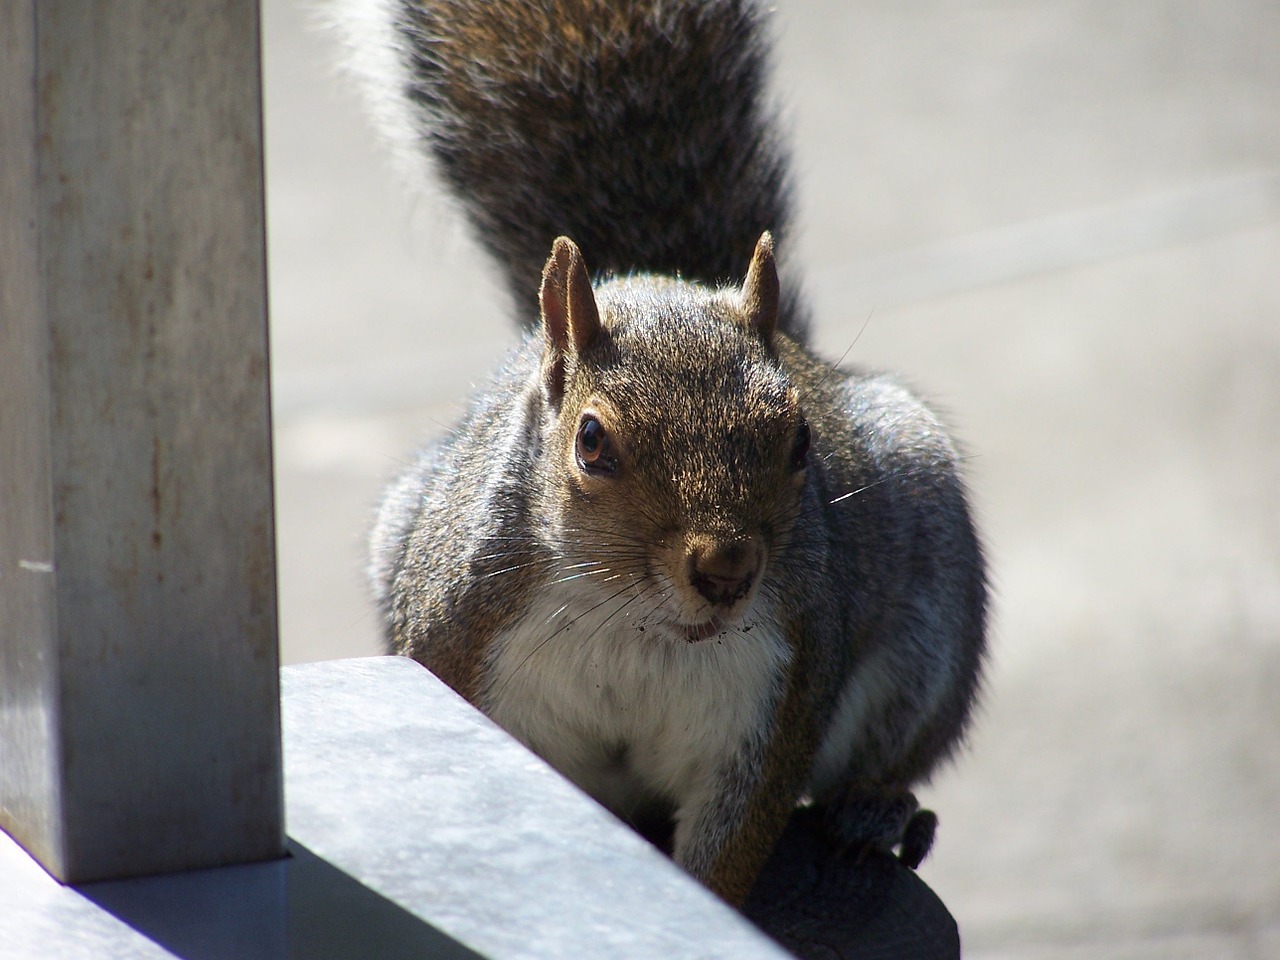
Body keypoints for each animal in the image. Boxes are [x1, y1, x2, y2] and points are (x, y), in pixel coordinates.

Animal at [335, 0, 983, 911]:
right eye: (591, 441)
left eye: (800, 439)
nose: (726, 569)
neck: (635, 625)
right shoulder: (461, 650)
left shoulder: (776, 696)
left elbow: (728, 852)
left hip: (931, 611)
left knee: (897, 745)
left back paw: (879, 810)